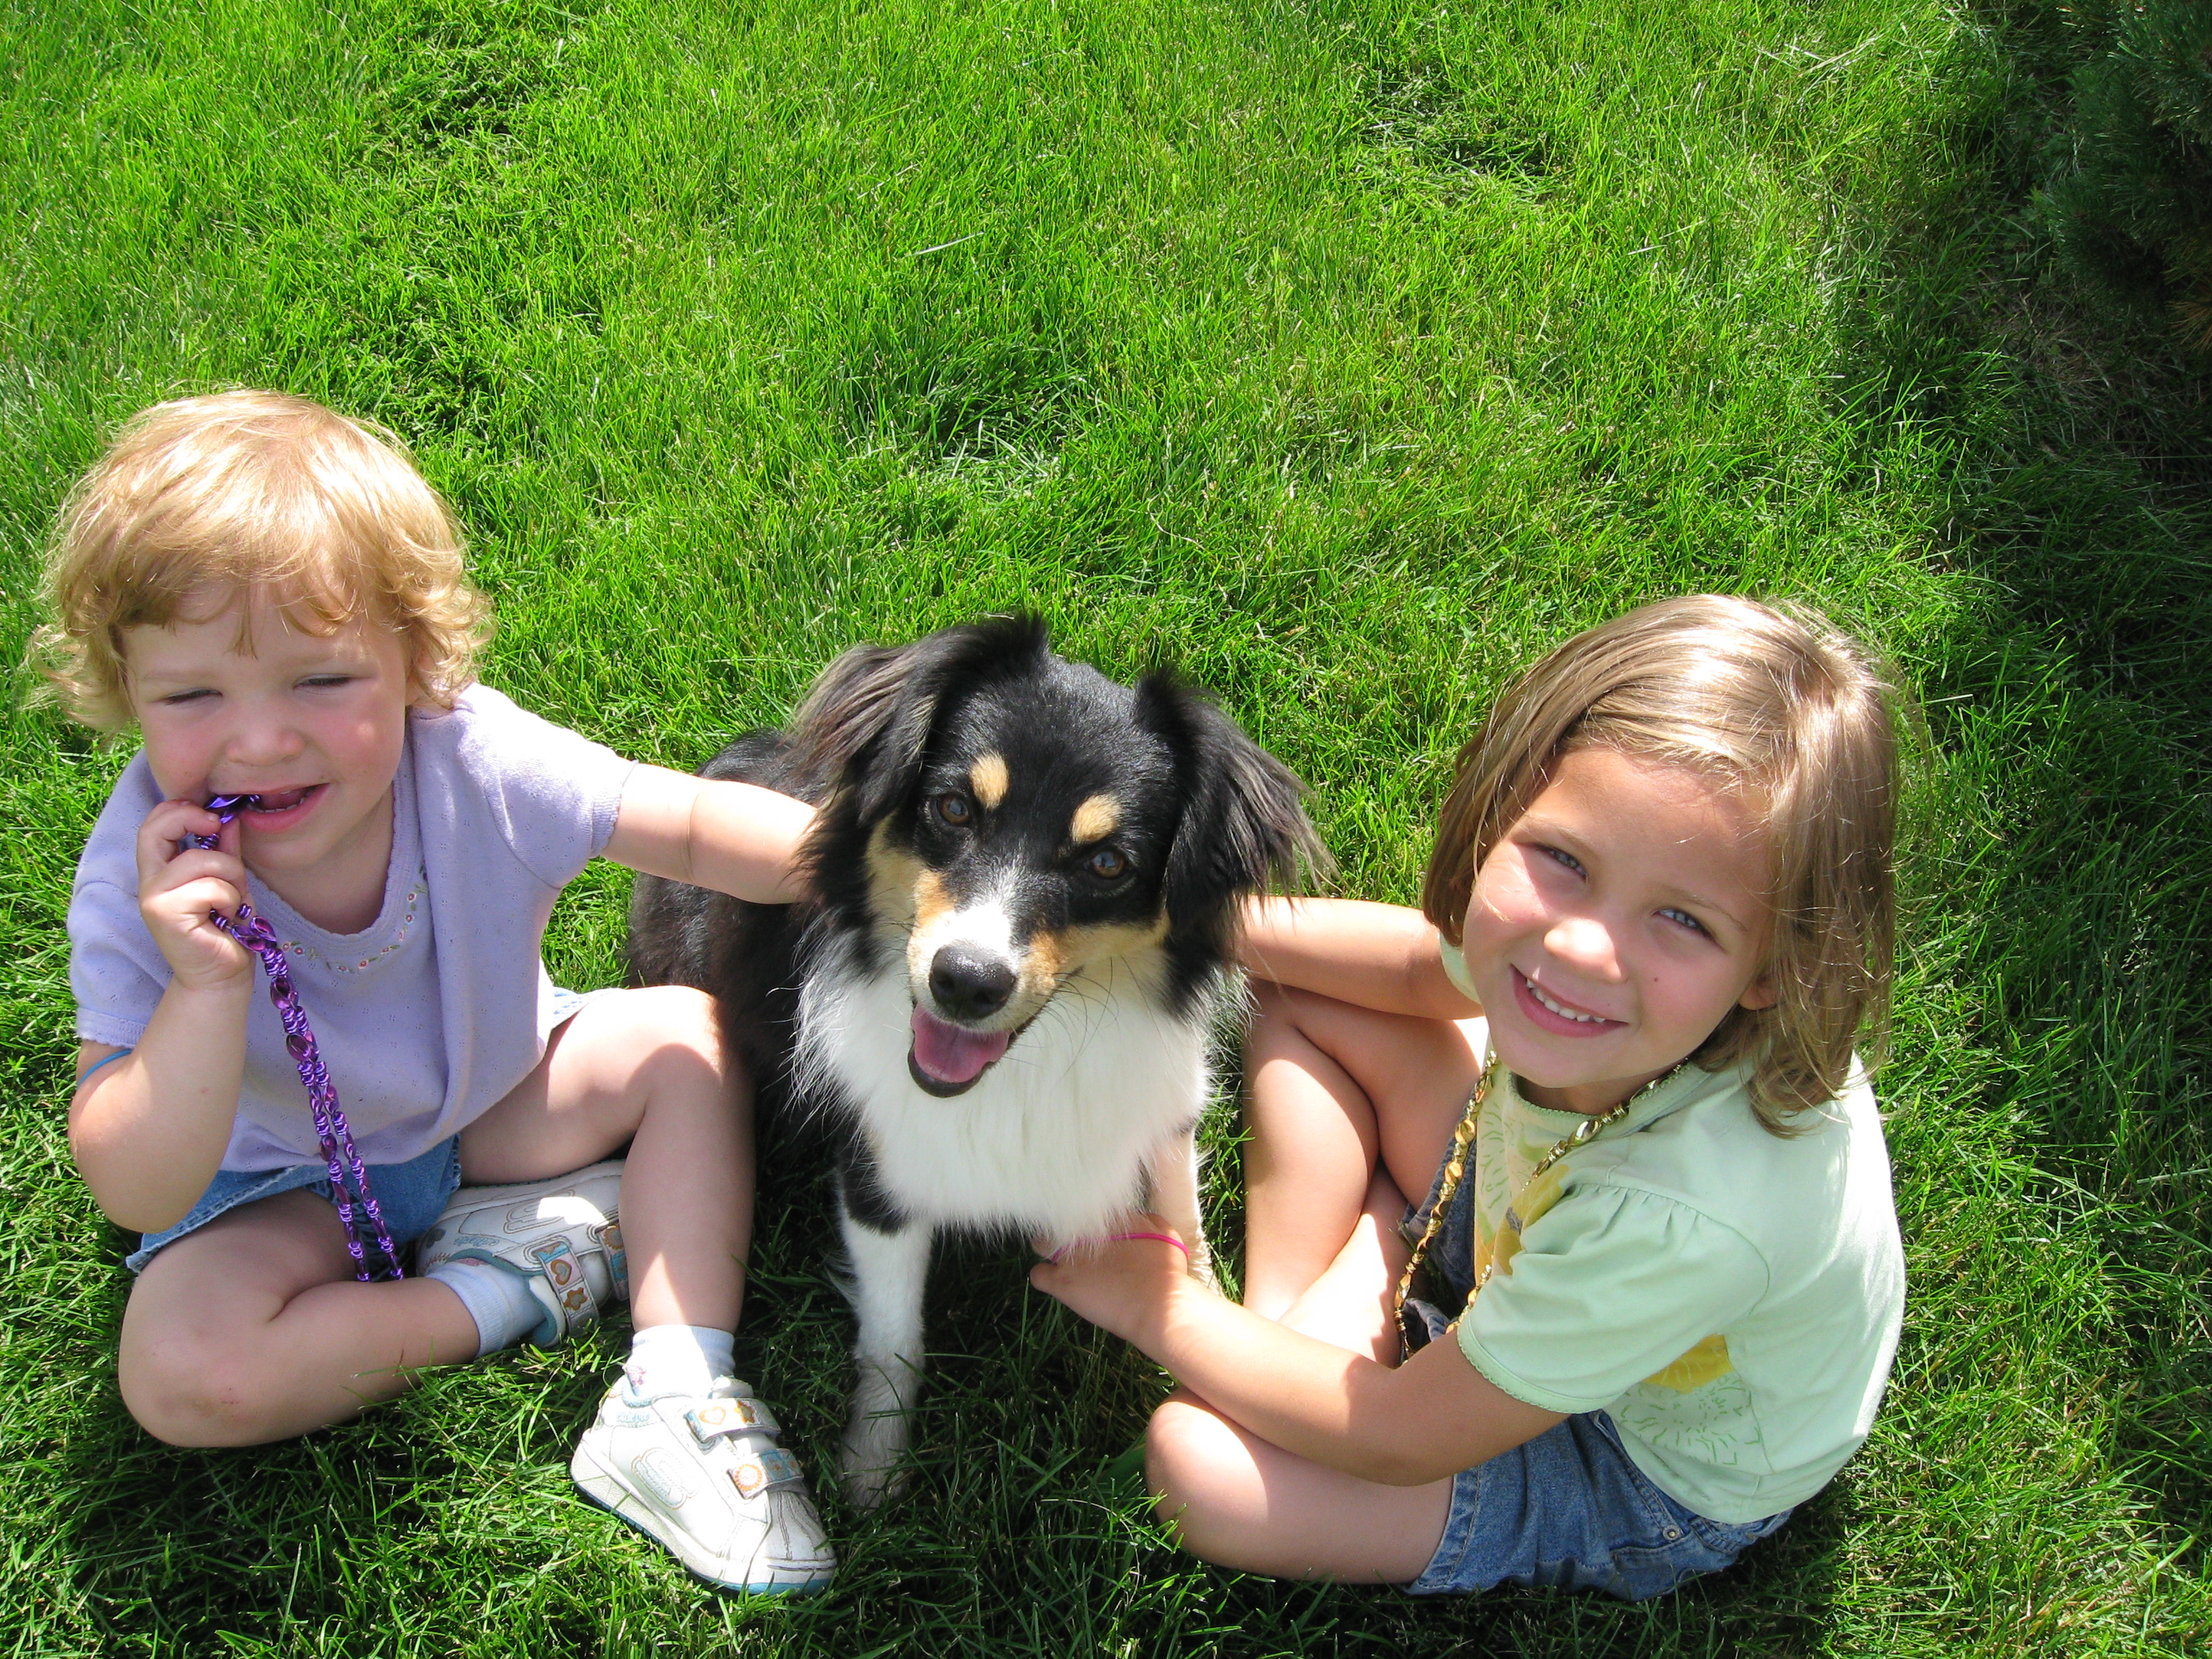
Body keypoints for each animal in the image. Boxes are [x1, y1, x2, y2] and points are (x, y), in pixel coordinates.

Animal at [628, 617, 1321, 1504]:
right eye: (954, 807)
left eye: (1108, 864)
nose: (965, 982)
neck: (1019, 1075)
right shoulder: (878, 1178)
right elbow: (894, 1337)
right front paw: (874, 1468)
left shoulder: (1164, 1113)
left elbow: (1183, 1220)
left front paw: (1204, 1312)